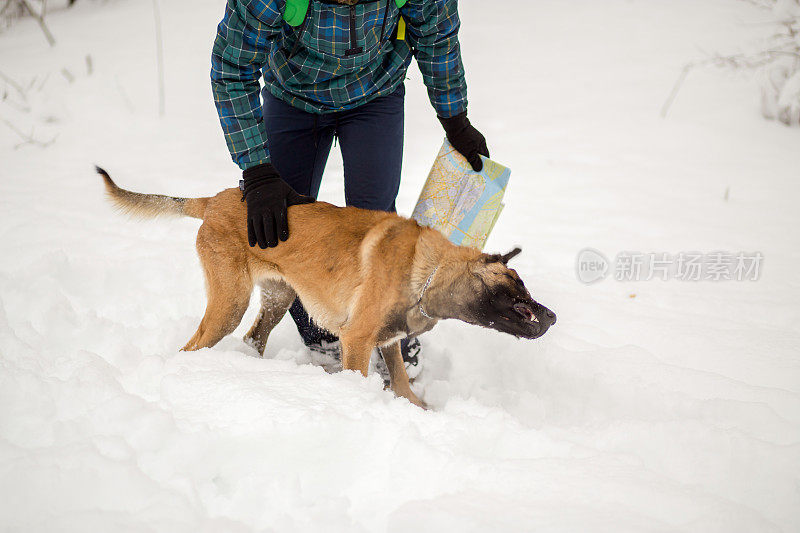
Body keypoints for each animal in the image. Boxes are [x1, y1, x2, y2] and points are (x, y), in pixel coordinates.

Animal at [97, 167, 552, 408]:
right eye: (518, 291)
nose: (552, 316)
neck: (428, 271)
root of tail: (213, 200)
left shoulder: (387, 339)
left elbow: (401, 380)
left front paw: (418, 408)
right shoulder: (357, 340)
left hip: (277, 298)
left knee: (253, 338)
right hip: (229, 304)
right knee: (193, 345)